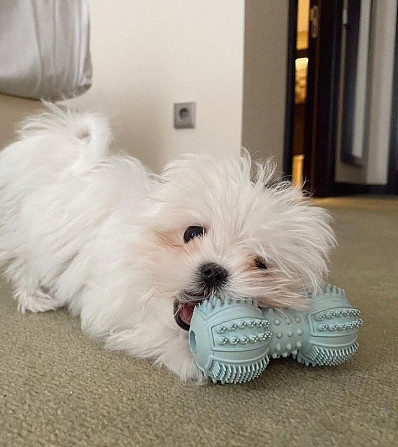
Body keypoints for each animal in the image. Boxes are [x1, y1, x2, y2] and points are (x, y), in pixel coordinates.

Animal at [0, 105, 336, 382]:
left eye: (261, 264)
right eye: (191, 233)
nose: (213, 271)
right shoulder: (111, 299)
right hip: (34, 232)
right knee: (25, 262)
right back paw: (34, 297)